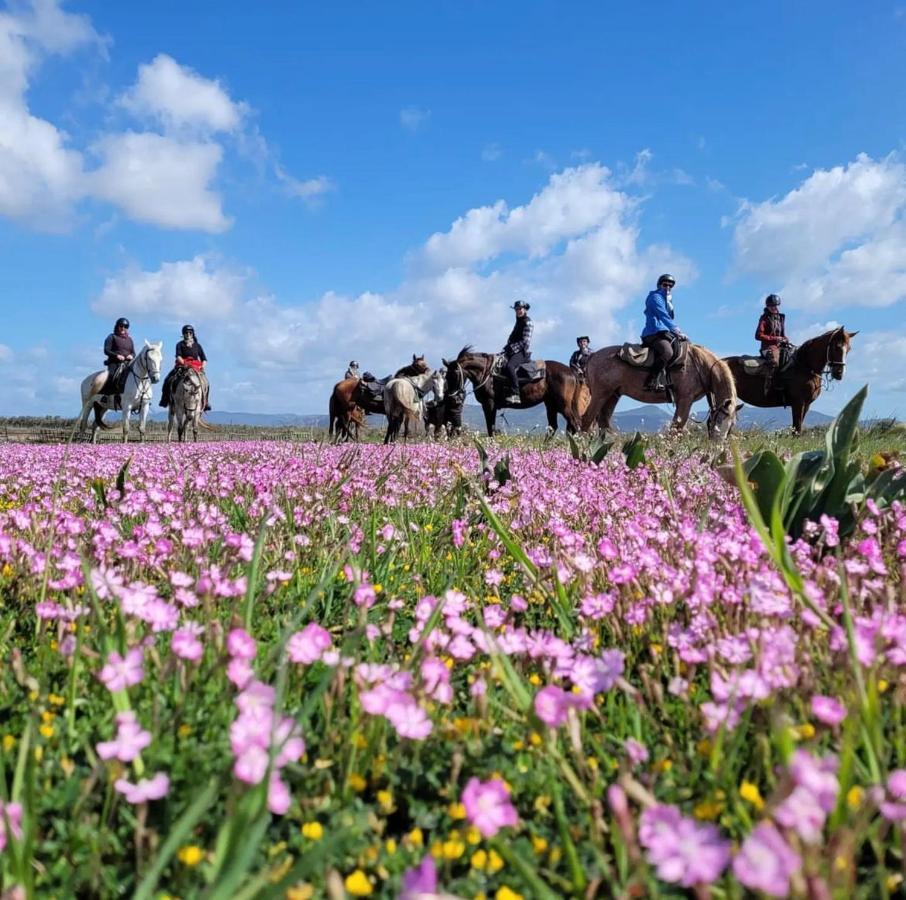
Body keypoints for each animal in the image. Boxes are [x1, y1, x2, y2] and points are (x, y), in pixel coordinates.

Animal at [444, 346, 588, 438]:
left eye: (454, 375)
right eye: (446, 376)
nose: (453, 397)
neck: (487, 373)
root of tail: (571, 372)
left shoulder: (489, 404)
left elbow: (490, 428)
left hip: (563, 405)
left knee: (575, 424)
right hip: (551, 405)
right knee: (554, 427)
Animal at [584, 342, 740, 442]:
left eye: (731, 426)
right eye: (718, 421)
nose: (717, 448)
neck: (700, 365)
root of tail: (593, 356)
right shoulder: (685, 400)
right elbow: (676, 429)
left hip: (612, 395)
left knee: (603, 422)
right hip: (600, 395)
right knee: (587, 419)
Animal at [724, 326, 860, 436]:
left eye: (849, 349)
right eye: (837, 347)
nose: (839, 373)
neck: (805, 366)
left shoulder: (806, 404)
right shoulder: (798, 403)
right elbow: (796, 430)